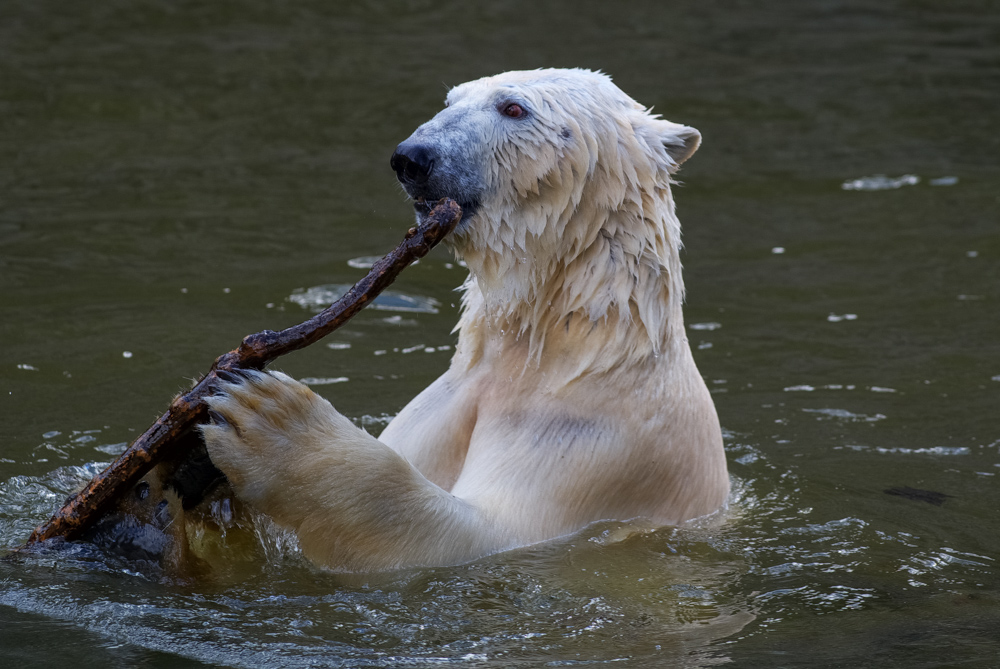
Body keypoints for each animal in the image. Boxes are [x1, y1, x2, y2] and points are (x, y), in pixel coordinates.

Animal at [203, 66, 732, 568]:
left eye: (513, 108)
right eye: (451, 98)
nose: (411, 157)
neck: (566, 351)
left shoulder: (603, 448)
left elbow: (482, 535)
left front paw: (269, 419)